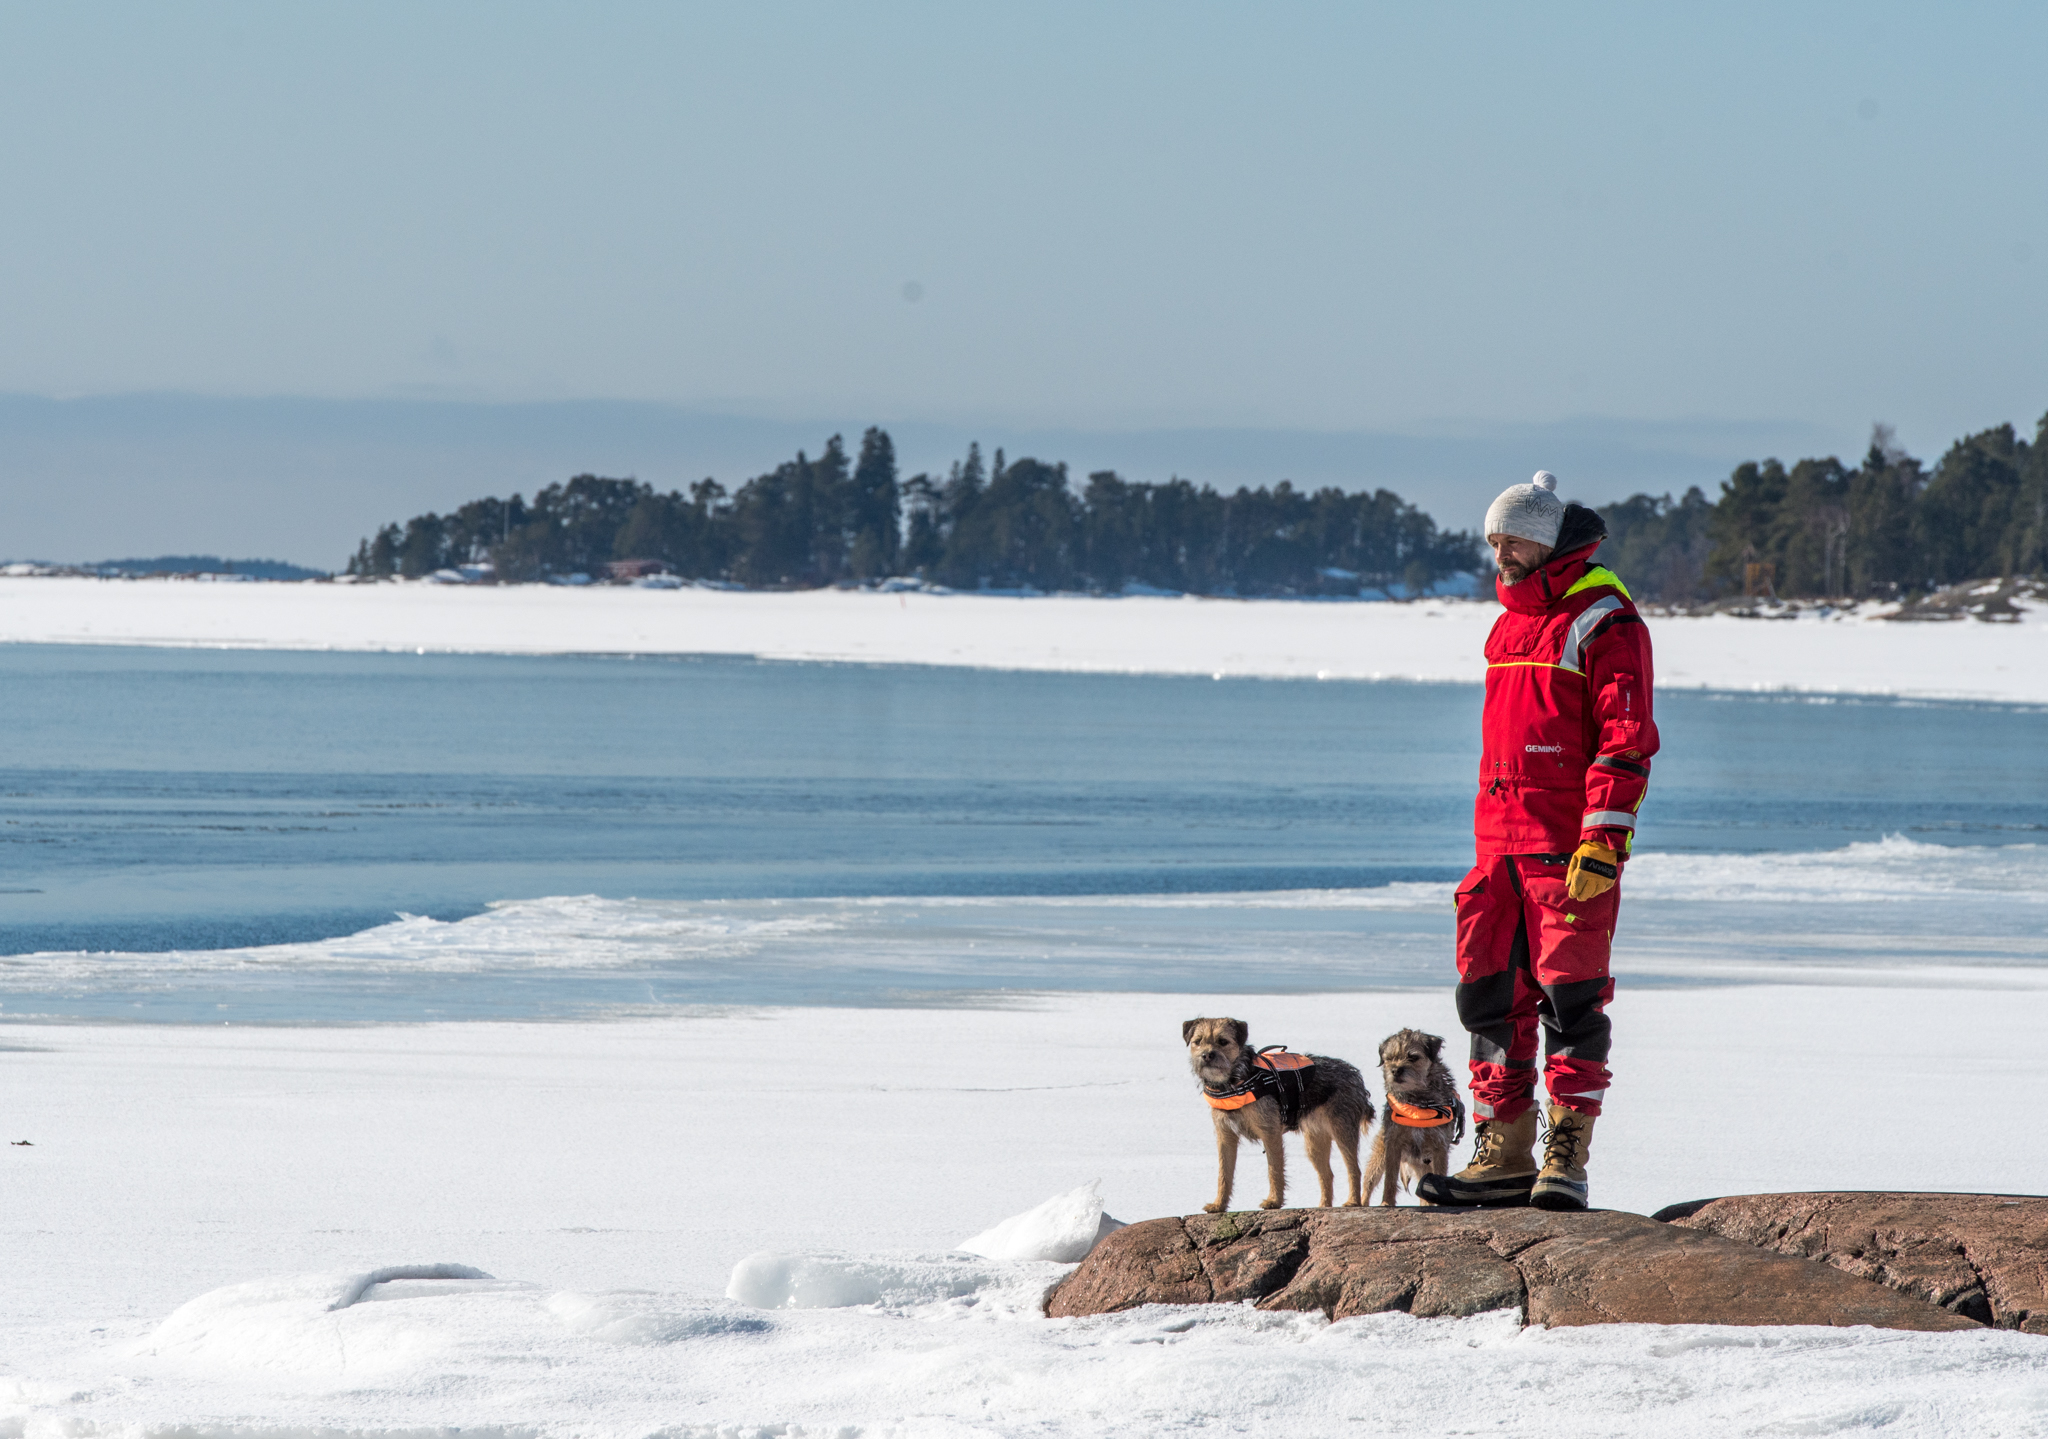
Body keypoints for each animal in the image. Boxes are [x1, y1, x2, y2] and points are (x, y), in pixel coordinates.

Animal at [1187, 1015, 1376, 1211]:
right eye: (1198, 1042)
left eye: (1223, 1041)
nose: (1207, 1055)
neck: (1236, 1081)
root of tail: (1355, 1075)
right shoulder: (1225, 1136)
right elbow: (1224, 1173)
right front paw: (1219, 1204)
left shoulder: (1270, 1132)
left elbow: (1274, 1169)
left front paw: (1274, 1201)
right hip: (1314, 1140)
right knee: (1327, 1174)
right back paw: (1323, 1206)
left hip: (1343, 1129)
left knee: (1354, 1169)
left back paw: (1353, 1202)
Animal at [1368, 1031, 1466, 1211]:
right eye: (1389, 1058)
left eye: (1413, 1057)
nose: (1396, 1070)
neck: (1417, 1103)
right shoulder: (1392, 1143)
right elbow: (1390, 1178)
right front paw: (1387, 1202)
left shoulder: (1440, 1146)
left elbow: (1440, 1173)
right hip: (1379, 1156)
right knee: (1369, 1182)